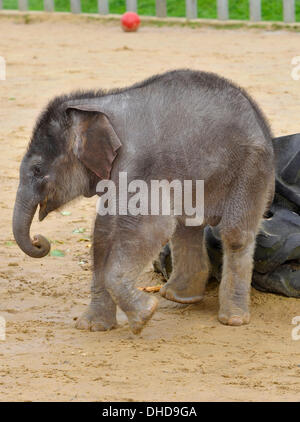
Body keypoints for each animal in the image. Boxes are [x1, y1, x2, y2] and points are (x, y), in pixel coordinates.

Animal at [13, 68, 274, 332]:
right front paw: (92, 327)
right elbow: (103, 231)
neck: (94, 106)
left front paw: (145, 315)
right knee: (187, 226)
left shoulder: (140, 164)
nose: (38, 241)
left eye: (37, 169)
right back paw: (179, 297)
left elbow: (152, 227)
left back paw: (232, 319)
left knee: (234, 234)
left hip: (250, 169)